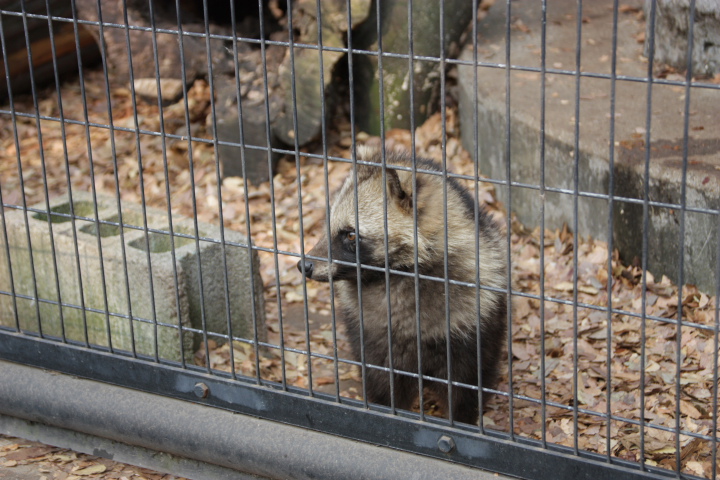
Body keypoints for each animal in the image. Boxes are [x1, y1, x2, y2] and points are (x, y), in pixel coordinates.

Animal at [296, 147, 506, 424]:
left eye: (351, 234)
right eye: (328, 227)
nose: (305, 265)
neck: (394, 277)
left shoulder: (472, 323)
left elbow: (466, 390)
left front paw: (462, 422)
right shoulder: (372, 334)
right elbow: (384, 386)